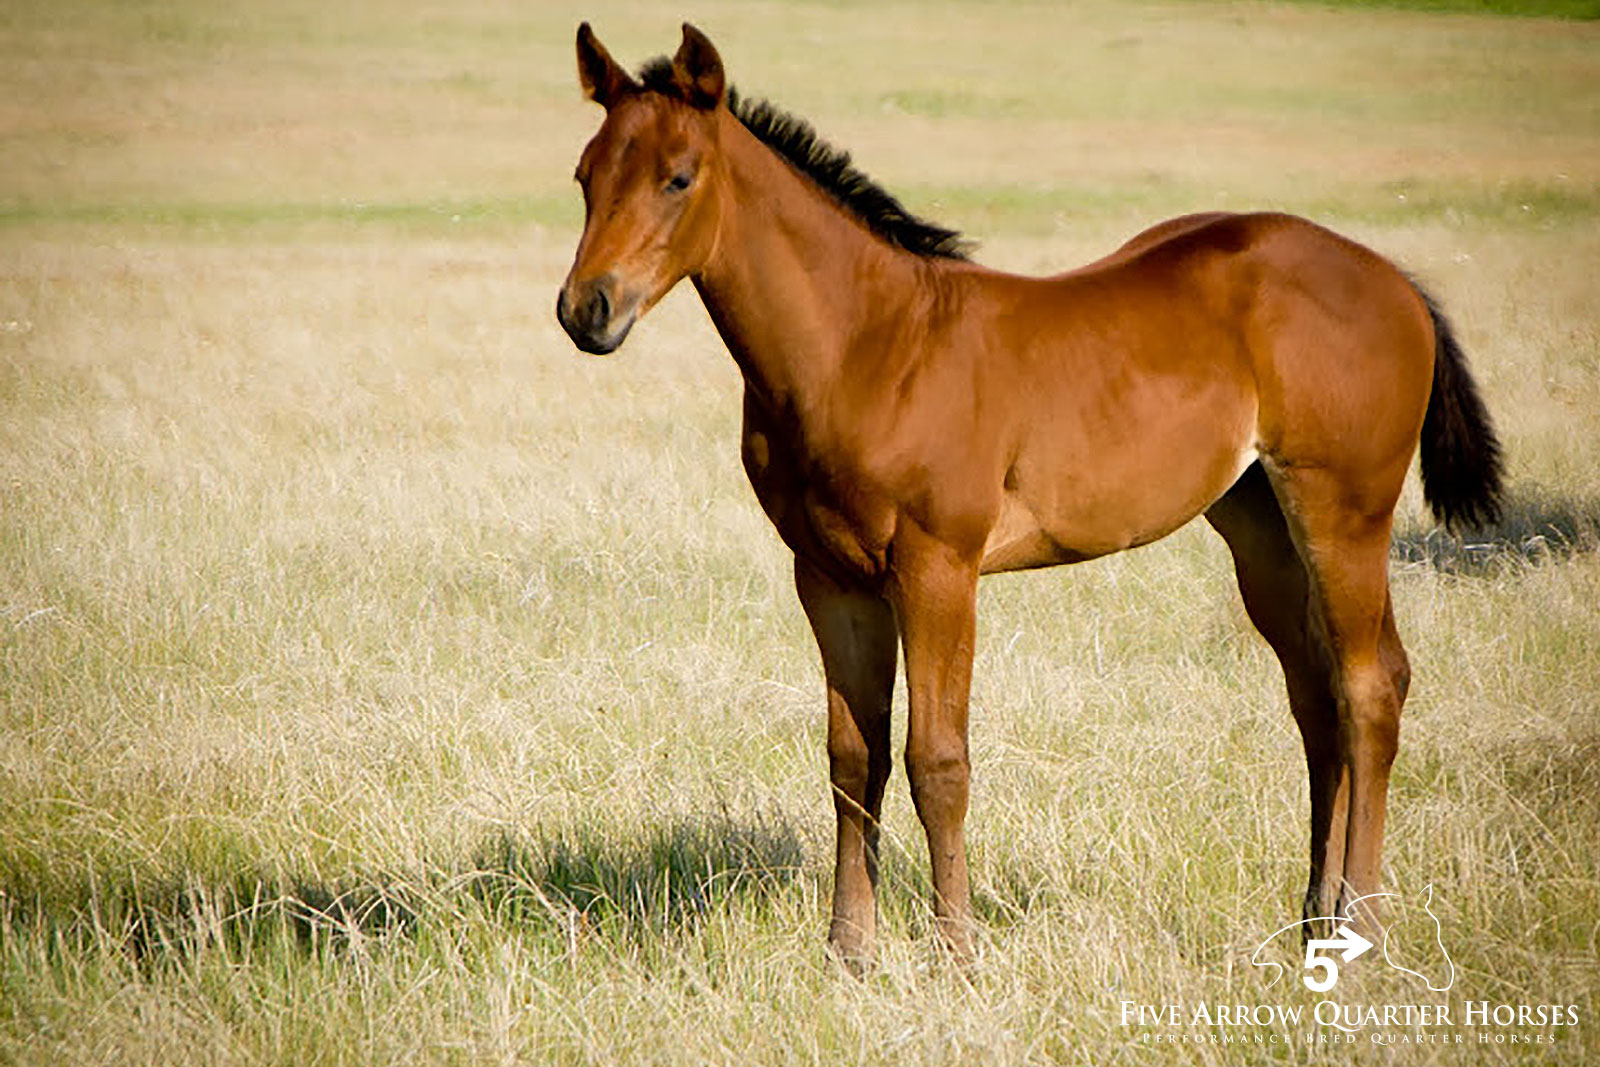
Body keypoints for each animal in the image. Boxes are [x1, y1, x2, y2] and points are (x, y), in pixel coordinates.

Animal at [556, 22, 1503, 967]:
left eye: (679, 177)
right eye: (585, 175)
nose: (587, 310)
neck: (866, 345)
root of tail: (1394, 278)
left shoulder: (938, 568)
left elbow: (938, 760)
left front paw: (956, 953)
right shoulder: (829, 577)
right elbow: (853, 760)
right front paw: (850, 954)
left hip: (1345, 512)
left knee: (1369, 689)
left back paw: (1361, 923)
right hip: (1261, 525)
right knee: (1320, 696)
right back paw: (1313, 921)